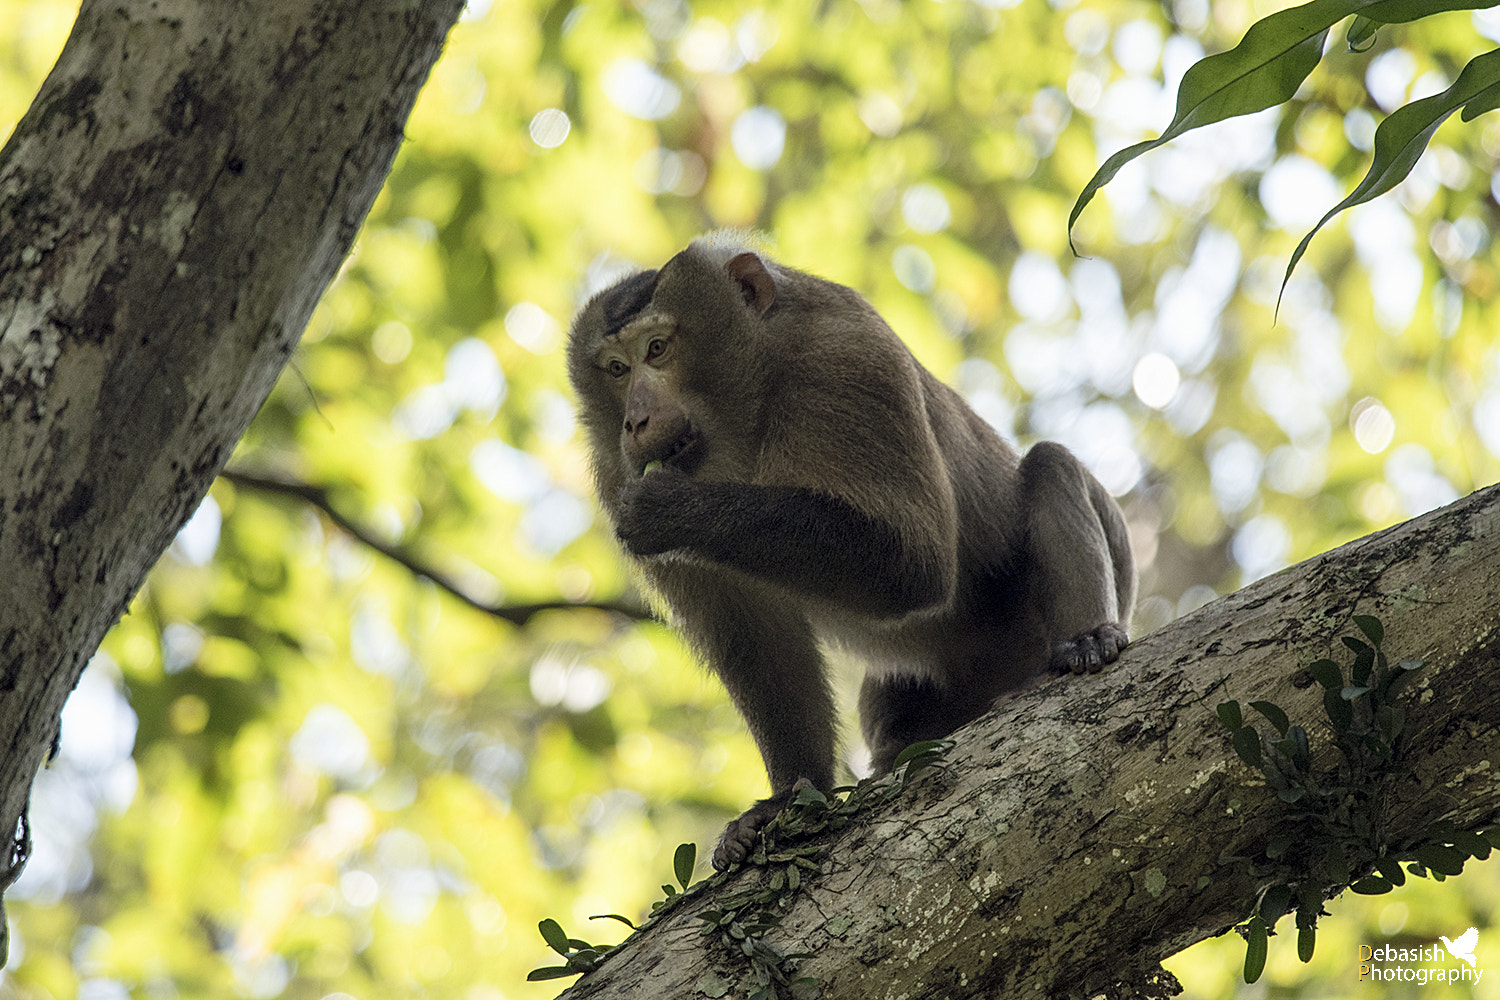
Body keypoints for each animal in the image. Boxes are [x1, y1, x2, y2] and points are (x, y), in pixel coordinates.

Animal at [567, 236, 1128, 869]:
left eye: (657, 349)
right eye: (617, 370)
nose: (635, 421)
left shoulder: (848, 360)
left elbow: (912, 563)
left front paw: (675, 508)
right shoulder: (615, 470)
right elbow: (758, 639)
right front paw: (786, 797)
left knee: (1050, 467)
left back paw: (1086, 639)